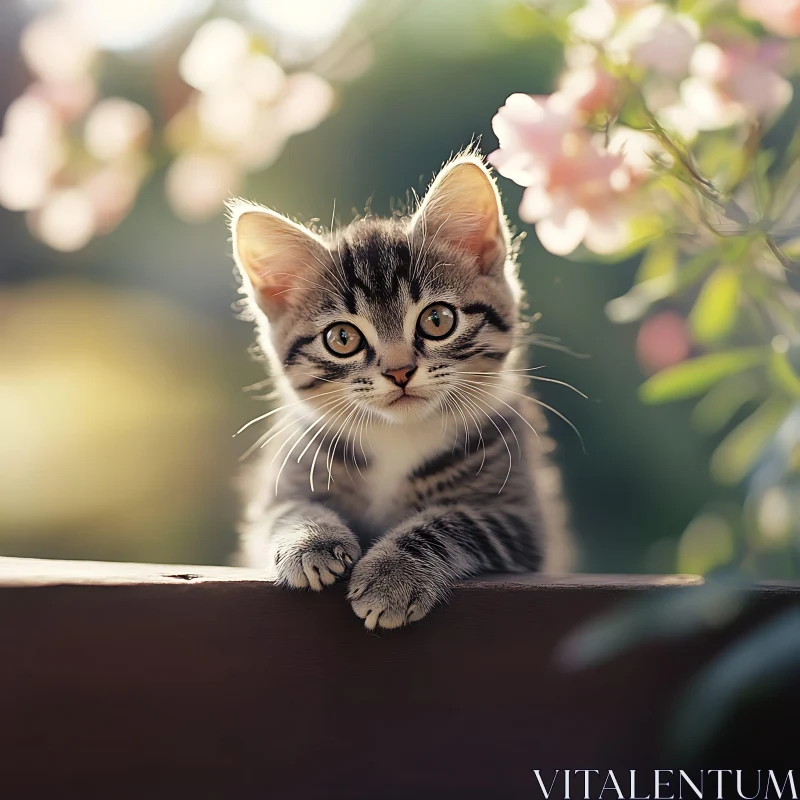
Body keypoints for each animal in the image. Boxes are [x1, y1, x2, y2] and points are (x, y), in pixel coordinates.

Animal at [228, 153, 572, 628]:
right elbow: (286, 509)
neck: (396, 434)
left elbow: (454, 521)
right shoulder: (288, 474)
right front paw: (310, 541)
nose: (400, 371)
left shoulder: (520, 521)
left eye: (437, 320)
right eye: (342, 338)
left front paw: (393, 574)